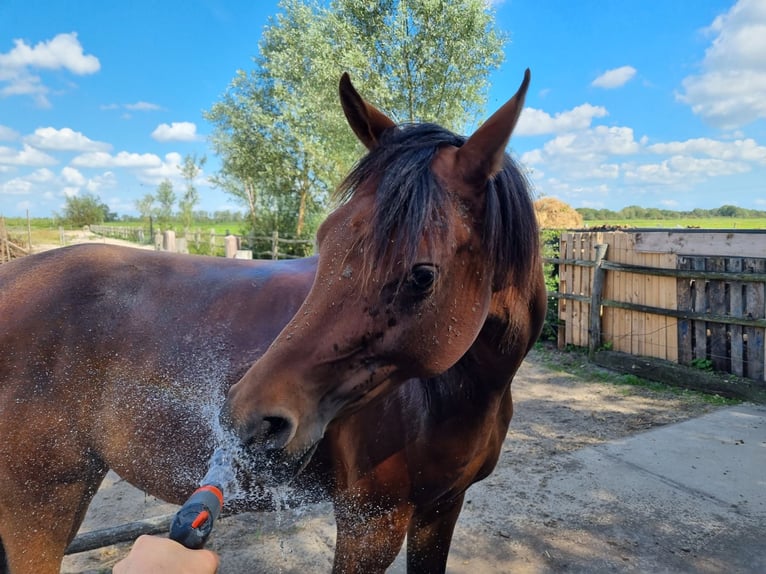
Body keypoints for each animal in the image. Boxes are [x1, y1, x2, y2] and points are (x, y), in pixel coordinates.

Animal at [0, 69, 545, 573]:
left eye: (423, 275)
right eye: (325, 241)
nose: (246, 419)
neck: (455, 396)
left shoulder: (441, 511)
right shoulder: (370, 524)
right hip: (40, 509)